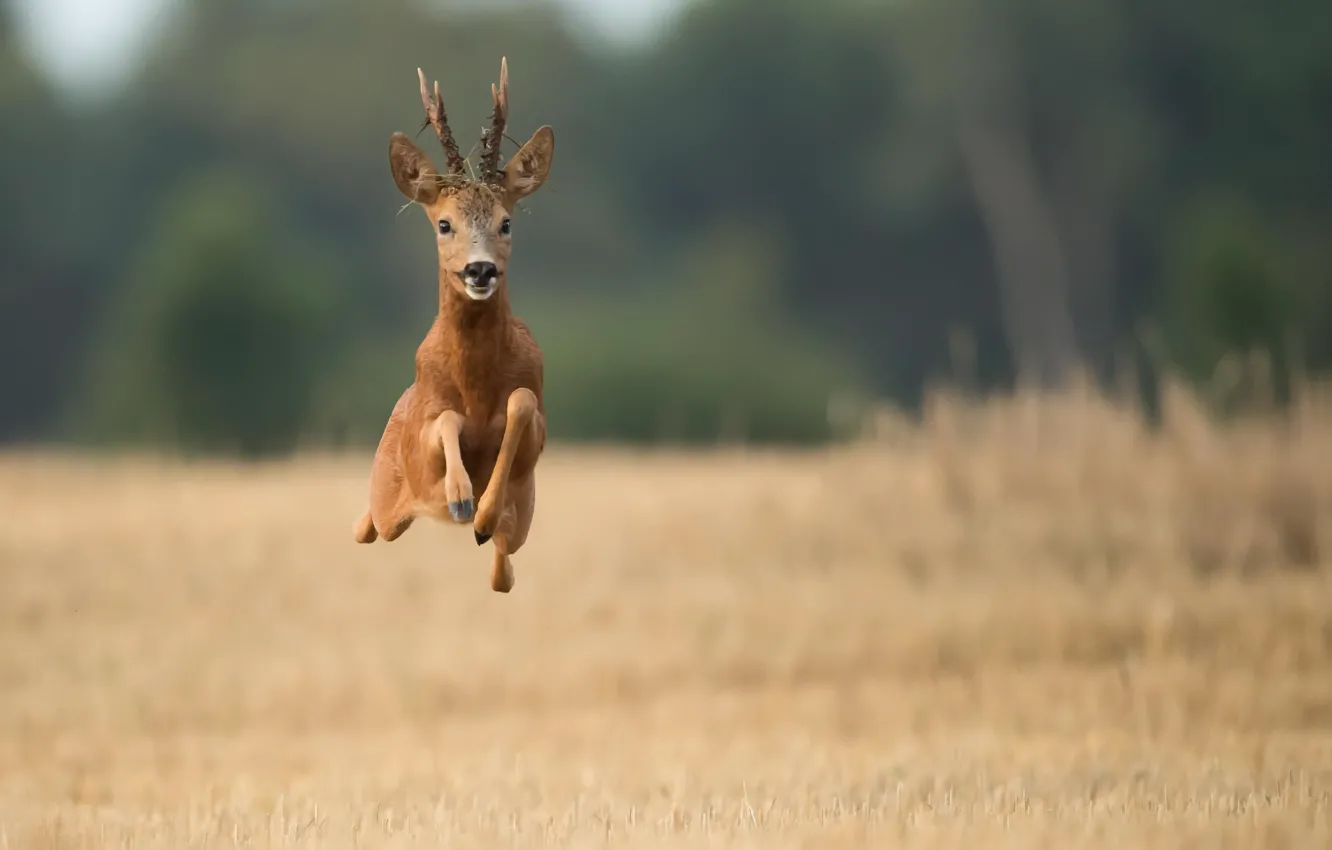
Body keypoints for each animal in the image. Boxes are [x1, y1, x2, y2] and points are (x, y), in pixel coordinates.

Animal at [353, 58, 554, 594]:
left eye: (506, 222)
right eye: (444, 224)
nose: (479, 271)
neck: (477, 387)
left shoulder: (535, 431)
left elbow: (521, 403)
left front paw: (480, 513)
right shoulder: (423, 441)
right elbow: (446, 421)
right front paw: (461, 496)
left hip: (524, 521)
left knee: (503, 572)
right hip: (388, 495)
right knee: (369, 526)